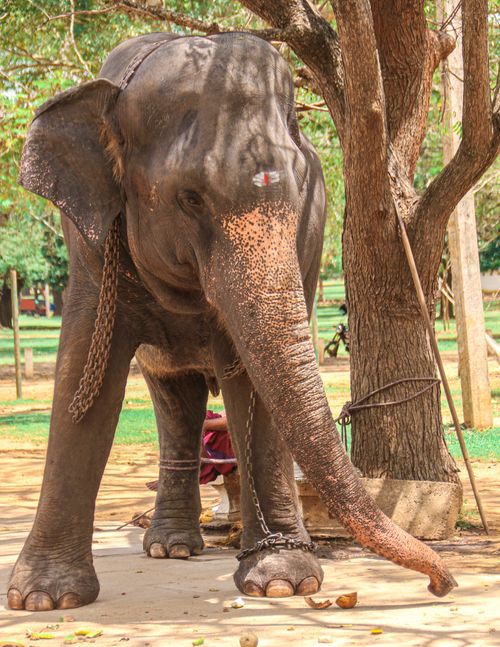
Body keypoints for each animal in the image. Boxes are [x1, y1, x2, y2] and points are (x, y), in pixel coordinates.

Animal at [8, 31, 457, 612]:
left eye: (300, 190)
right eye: (189, 197)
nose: (441, 583)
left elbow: (250, 378)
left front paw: (285, 582)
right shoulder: (87, 245)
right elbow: (84, 371)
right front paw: (43, 600)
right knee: (173, 398)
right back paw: (172, 547)